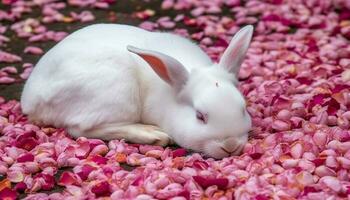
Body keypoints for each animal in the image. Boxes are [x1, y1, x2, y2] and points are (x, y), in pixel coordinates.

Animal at [20, 23, 253, 159]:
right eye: (200, 116)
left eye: (243, 109)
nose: (230, 145)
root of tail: (30, 100)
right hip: (116, 93)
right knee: (80, 129)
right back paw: (153, 134)